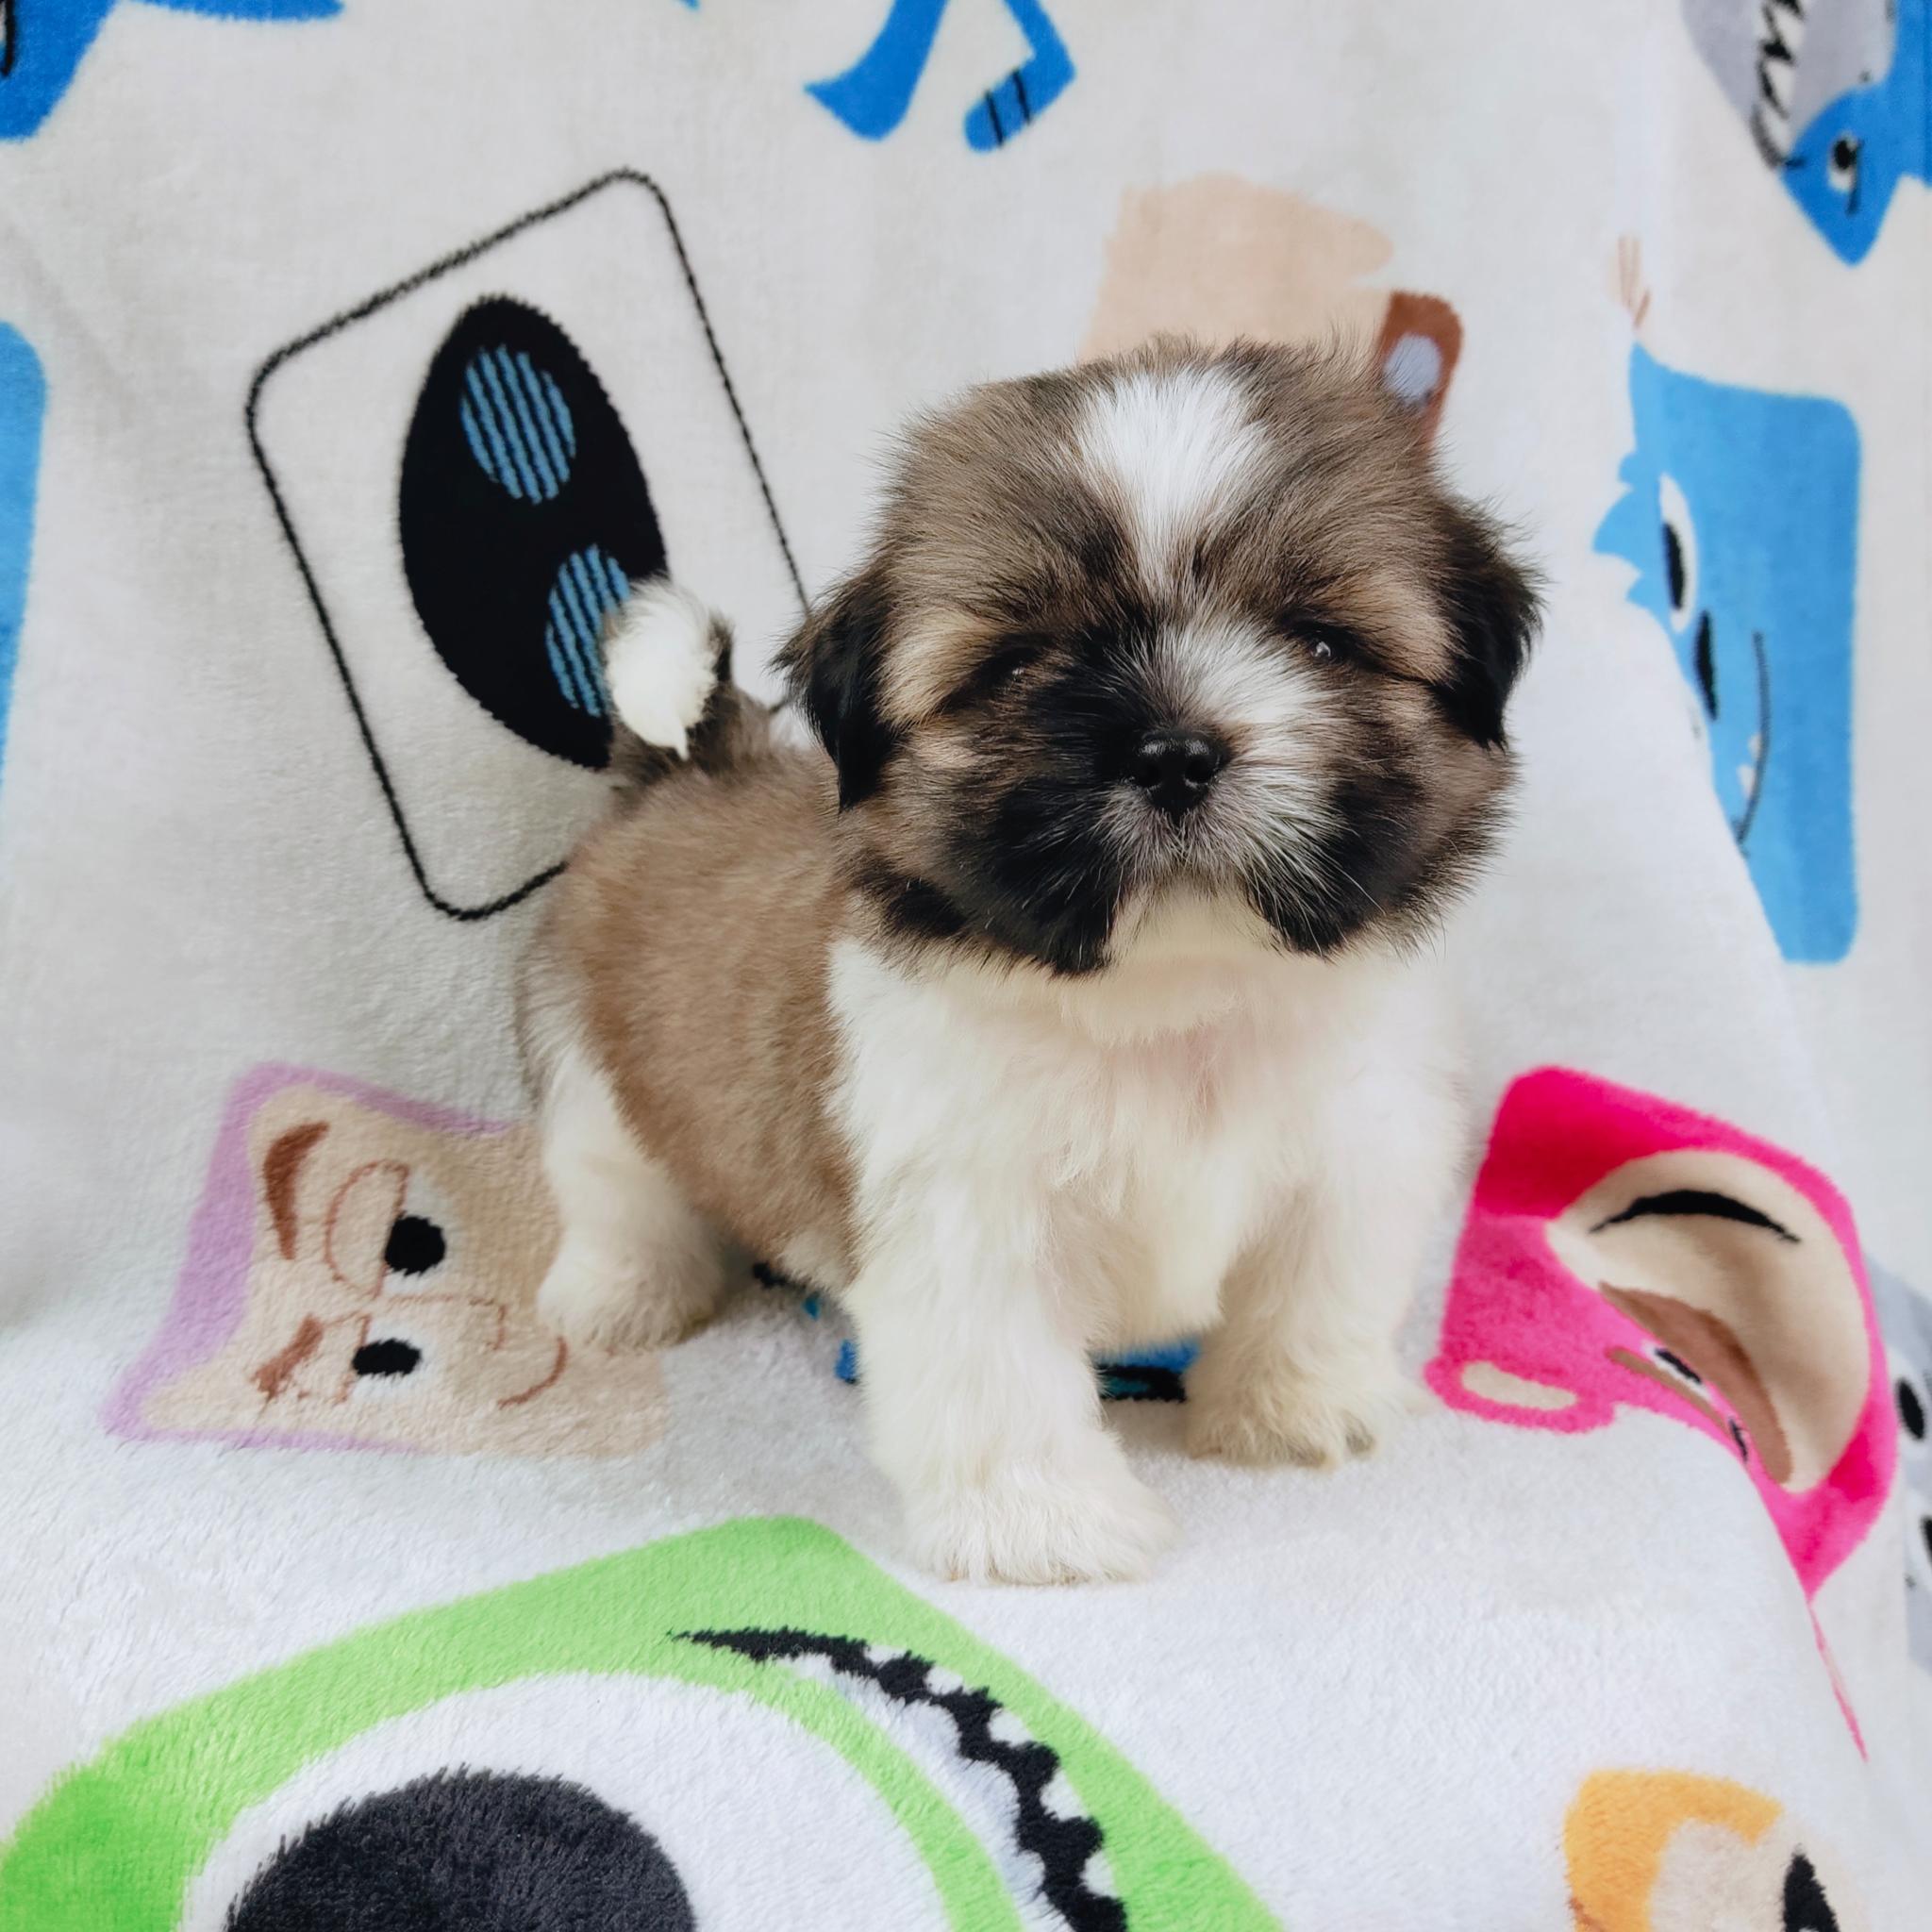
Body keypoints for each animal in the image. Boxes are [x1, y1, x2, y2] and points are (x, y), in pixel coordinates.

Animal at [520, 337, 1539, 1583]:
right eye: (1014, 668)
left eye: (1319, 642)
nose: (1173, 749)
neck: (1170, 998)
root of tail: (685, 765)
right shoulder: (961, 1205)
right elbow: (993, 1369)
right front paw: (1041, 1519)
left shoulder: (1356, 1150)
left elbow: (1315, 1286)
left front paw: (1296, 1408)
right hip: (586, 1065)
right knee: (614, 1186)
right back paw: (623, 1292)